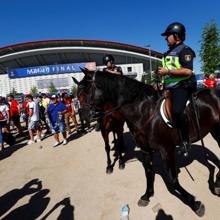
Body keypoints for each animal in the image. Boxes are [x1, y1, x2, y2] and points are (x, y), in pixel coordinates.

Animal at [77, 70, 220, 217]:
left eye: (86, 90)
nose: (84, 117)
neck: (144, 111)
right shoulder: (145, 149)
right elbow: (148, 173)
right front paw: (147, 195)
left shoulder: (167, 150)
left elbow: (173, 179)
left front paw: (194, 203)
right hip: (215, 130)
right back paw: (217, 182)